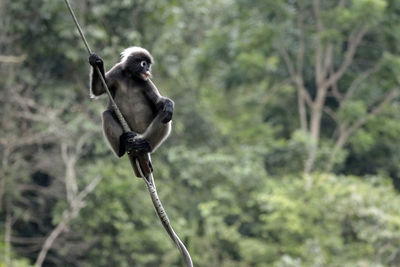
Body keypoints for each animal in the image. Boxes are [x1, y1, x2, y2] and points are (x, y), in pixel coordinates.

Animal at [89, 46, 173, 178]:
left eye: (148, 65)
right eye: (144, 63)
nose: (147, 69)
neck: (131, 77)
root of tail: (138, 134)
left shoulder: (146, 82)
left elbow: (159, 102)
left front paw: (169, 104)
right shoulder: (118, 71)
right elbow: (98, 89)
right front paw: (96, 62)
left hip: (145, 132)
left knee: (165, 115)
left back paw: (145, 145)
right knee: (107, 114)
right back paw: (122, 147)